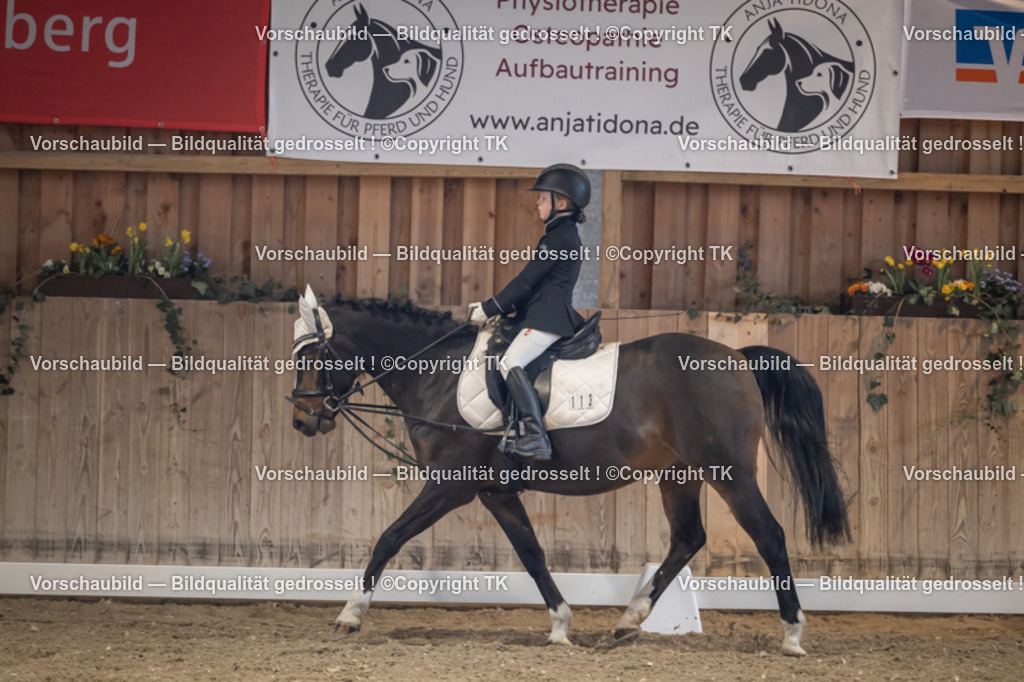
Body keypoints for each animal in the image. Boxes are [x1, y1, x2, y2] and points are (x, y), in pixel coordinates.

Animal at [289, 294, 850, 656]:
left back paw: (792, 635)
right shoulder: (493, 492)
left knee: (769, 536)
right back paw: (629, 620)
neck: (440, 374)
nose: (302, 420)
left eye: (312, 355)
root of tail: (736, 357)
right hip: (680, 473)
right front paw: (560, 625)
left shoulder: (451, 485)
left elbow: (389, 537)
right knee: (688, 537)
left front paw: (349, 615)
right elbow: (532, 553)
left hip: (729, 472)